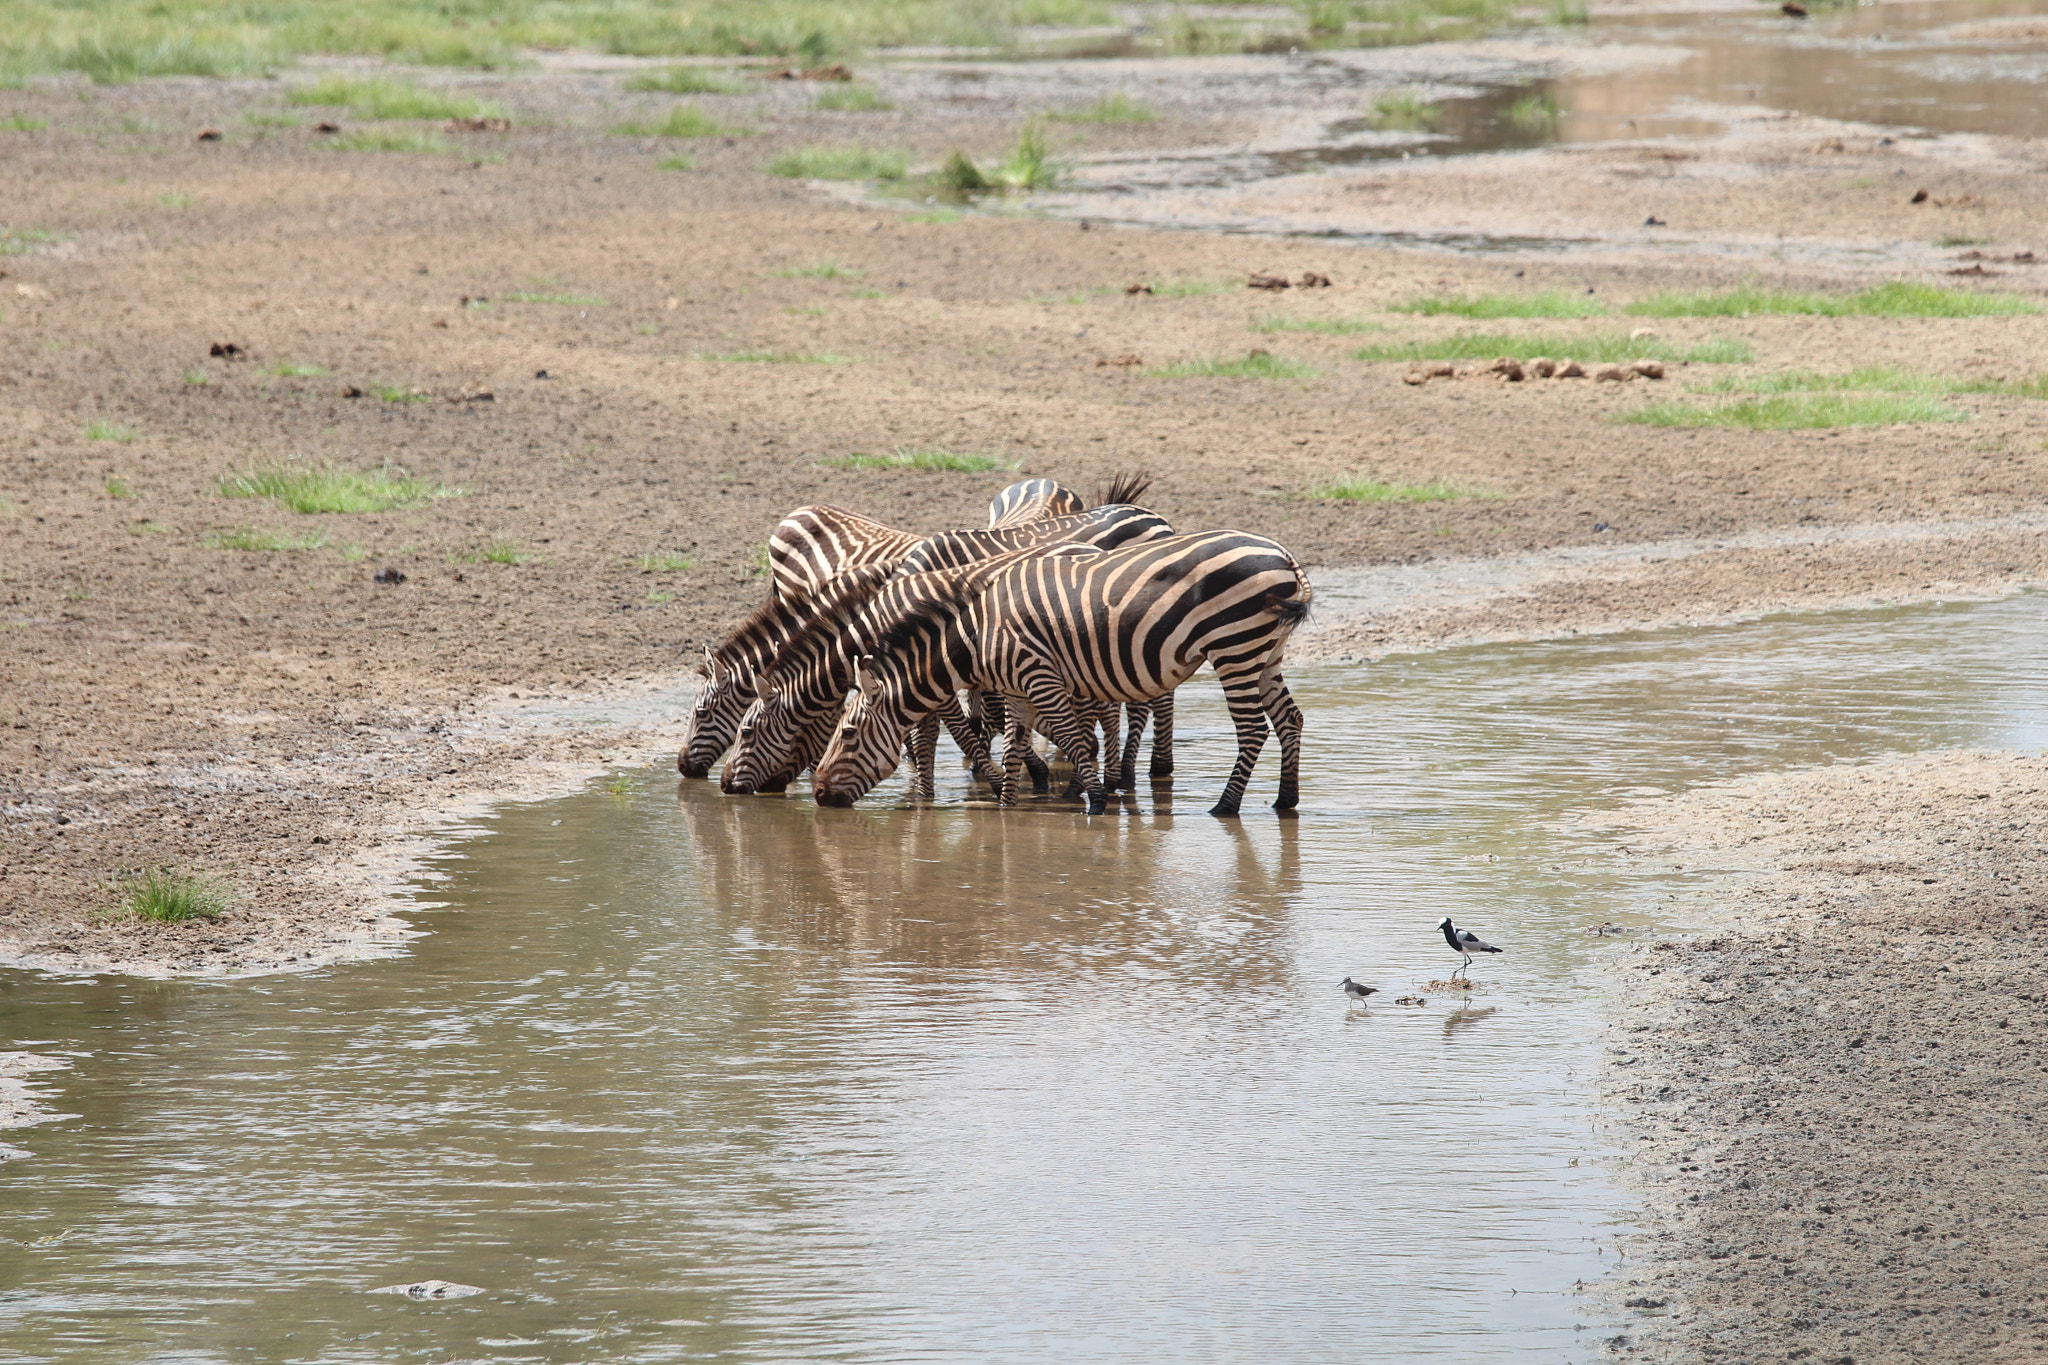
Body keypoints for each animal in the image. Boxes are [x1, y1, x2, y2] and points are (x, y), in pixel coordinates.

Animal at [806, 527, 1302, 818]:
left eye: (847, 734)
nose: (817, 794)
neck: (975, 638)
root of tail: (1283, 554)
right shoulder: (1017, 691)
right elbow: (1013, 749)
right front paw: (1007, 810)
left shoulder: (1039, 676)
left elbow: (1072, 738)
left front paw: (1096, 802)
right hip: (1266, 652)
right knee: (1290, 720)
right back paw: (1286, 800)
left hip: (1235, 646)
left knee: (1254, 730)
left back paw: (1225, 807)